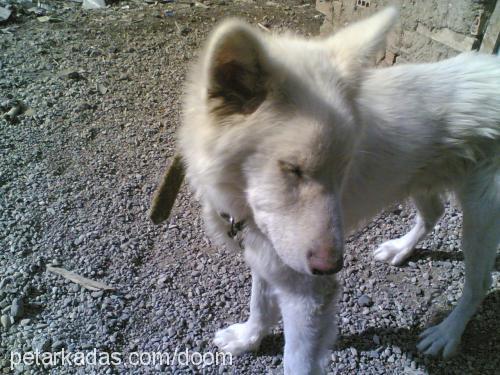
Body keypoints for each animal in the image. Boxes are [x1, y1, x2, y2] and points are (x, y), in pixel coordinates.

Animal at [176, 7, 500, 374]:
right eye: (293, 168)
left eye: (343, 169)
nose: (332, 268)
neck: (240, 202)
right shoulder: (267, 253)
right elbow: (259, 303)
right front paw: (248, 338)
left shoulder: (309, 294)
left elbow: (296, 360)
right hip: (418, 180)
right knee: (434, 214)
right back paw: (400, 249)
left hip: (480, 218)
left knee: (479, 284)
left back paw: (447, 333)